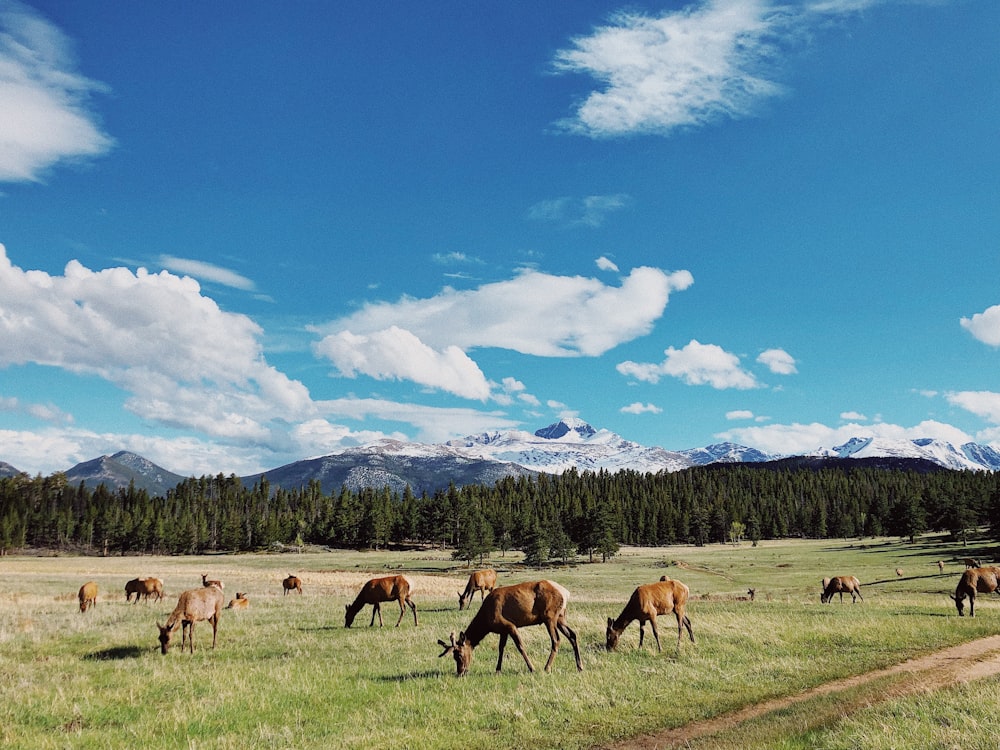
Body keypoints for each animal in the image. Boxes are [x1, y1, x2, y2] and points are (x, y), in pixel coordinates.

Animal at [440, 580, 584, 680]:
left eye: (459, 655)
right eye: (454, 656)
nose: (460, 672)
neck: (486, 620)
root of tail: (565, 593)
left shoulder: (510, 625)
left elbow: (520, 646)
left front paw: (532, 668)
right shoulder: (502, 630)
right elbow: (501, 648)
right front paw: (498, 670)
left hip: (549, 616)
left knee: (556, 640)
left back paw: (547, 667)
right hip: (561, 617)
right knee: (572, 635)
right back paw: (580, 666)